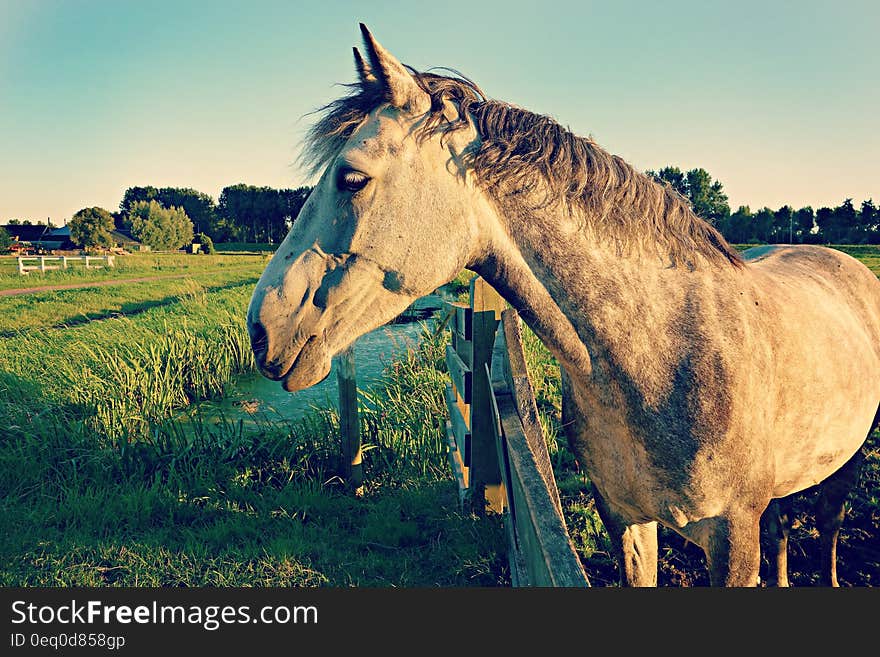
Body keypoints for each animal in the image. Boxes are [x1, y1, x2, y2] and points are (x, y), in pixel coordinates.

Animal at [248, 25, 880, 588]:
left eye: (352, 178)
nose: (260, 329)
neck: (661, 354)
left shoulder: (732, 539)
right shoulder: (625, 519)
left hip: (843, 466)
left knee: (827, 527)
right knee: (785, 526)